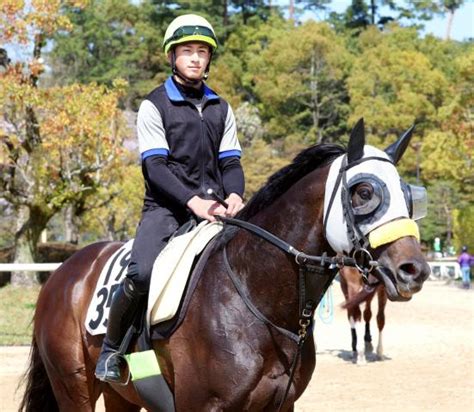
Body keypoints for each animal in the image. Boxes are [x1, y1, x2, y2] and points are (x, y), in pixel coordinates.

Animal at [20, 120, 432, 412]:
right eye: (364, 192)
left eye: (408, 195)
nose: (414, 270)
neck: (256, 298)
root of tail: (62, 273)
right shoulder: (202, 406)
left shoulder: (281, 406)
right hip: (75, 388)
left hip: (121, 395)